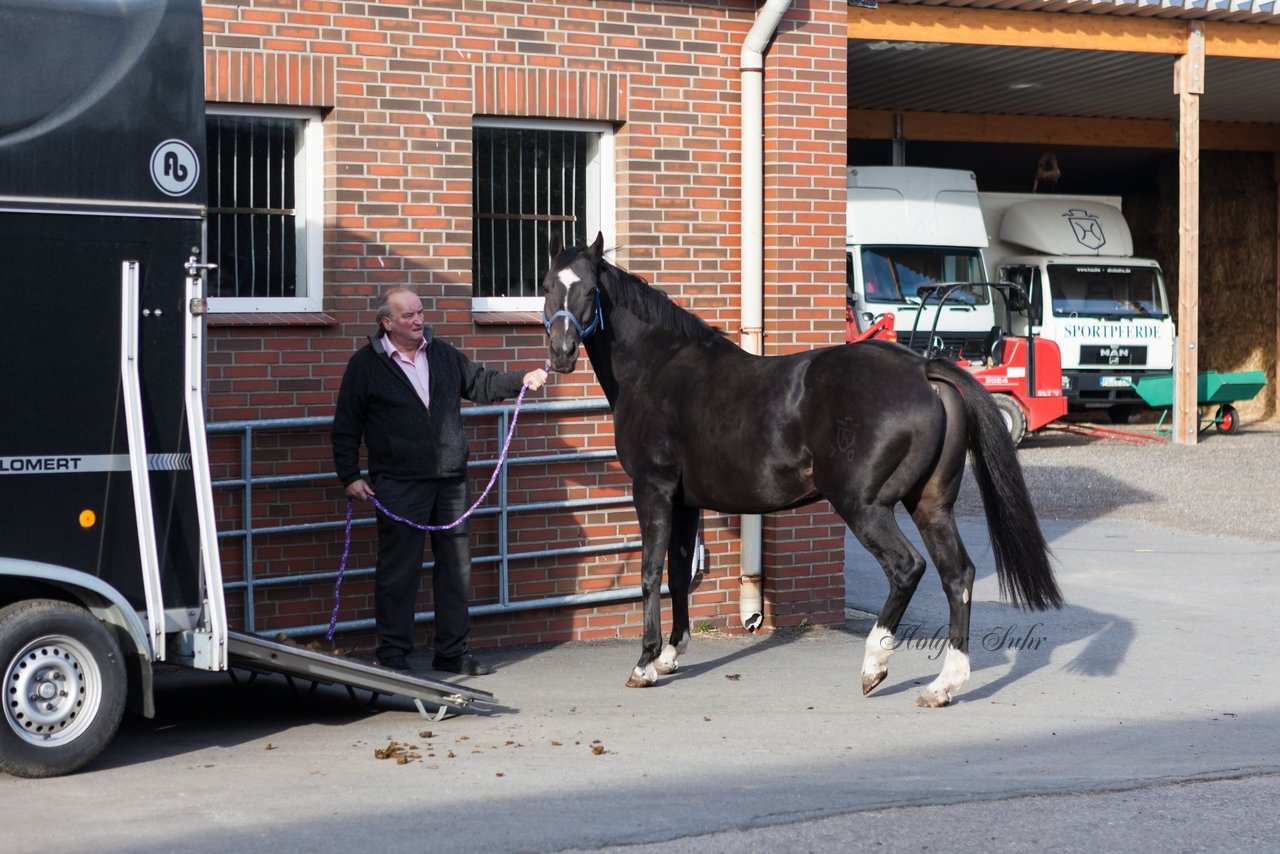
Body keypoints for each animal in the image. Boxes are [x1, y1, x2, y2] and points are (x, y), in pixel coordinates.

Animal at [540, 231, 1059, 706]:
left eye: (589, 290)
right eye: (546, 286)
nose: (561, 353)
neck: (657, 368)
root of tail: (922, 370)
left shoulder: (653, 489)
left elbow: (650, 572)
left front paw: (645, 663)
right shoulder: (684, 502)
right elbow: (678, 572)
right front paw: (670, 655)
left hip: (864, 507)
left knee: (907, 568)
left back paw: (874, 666)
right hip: (931, 506)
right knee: (958, 576)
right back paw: (943, 685)